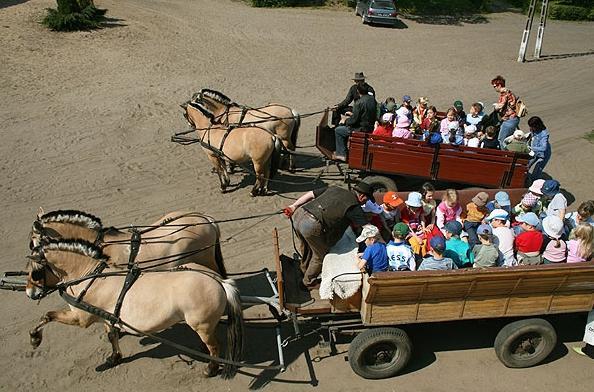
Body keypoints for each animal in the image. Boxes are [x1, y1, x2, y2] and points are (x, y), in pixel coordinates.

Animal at [25, 240, 243, 378]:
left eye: (35, 272)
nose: (30, 293)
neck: (90, 276)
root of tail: (218, 280)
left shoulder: (80, 318)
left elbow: (48, 315)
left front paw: (35, 338)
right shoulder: (107, 316)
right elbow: (111, 336)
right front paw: (113, 359)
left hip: (201, 324)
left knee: (214, 346)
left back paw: (210, 368)